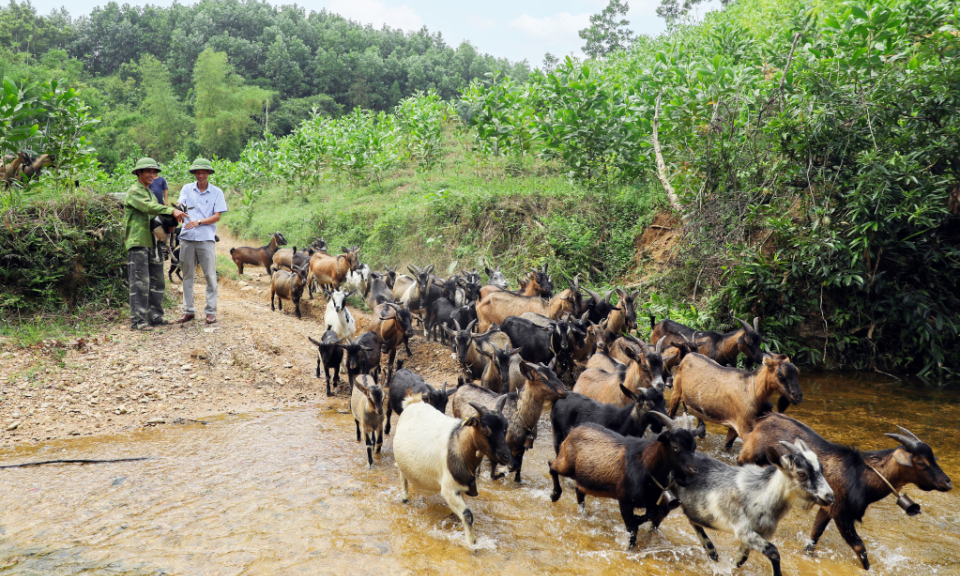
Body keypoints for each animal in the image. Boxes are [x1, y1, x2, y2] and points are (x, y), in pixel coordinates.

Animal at [392, 396, 510, 544]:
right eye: (484, 430)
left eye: (505, 428)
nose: (506, 456)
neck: (459, 444)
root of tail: (413, 402)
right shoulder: (448, 489)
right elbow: (467, 515)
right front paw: (472, 542)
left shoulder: (462, 488)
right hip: (401, 463)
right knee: (403, 477)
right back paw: (405, 497)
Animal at [668, 352, 804, 450]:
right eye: (780, 375)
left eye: (797, 373)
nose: (798, 396)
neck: (750, 390)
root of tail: (687, 356)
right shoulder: (744, 427)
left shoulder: (734, 427)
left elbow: (727, 447)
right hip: (676, 393)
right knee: (670, 414)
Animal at [676, 436, 832, 576]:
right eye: (801, 473)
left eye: (821, 470)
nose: (830, 496)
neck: (760, 494)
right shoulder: (743, 530)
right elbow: (773, 552)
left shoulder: (754, 535)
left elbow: (741, 559)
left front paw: (730, 568)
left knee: (692, 519)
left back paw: (711, 552)